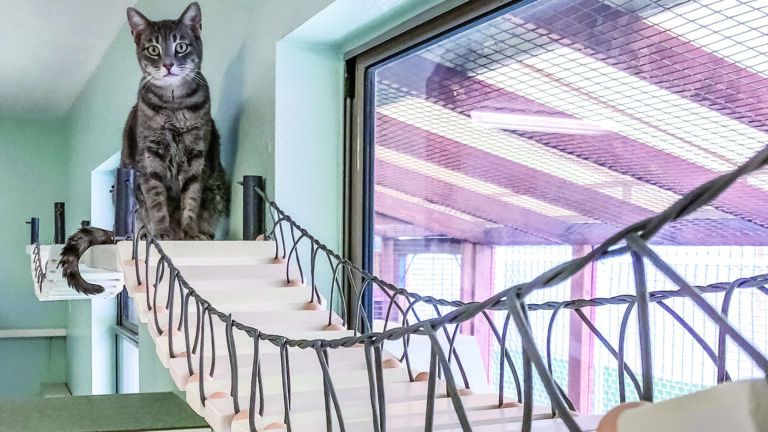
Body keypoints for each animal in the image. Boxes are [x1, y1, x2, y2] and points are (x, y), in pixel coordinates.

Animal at [60, 2, 228, 294]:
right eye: (153, 49)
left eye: (181, 46)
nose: (168, 64)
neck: (175, 105)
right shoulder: (150, 157)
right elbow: (157, 199)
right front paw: (162, 231)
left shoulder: (197, 155)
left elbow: (191, 198)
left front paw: (189, 231)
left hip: (216, 188)